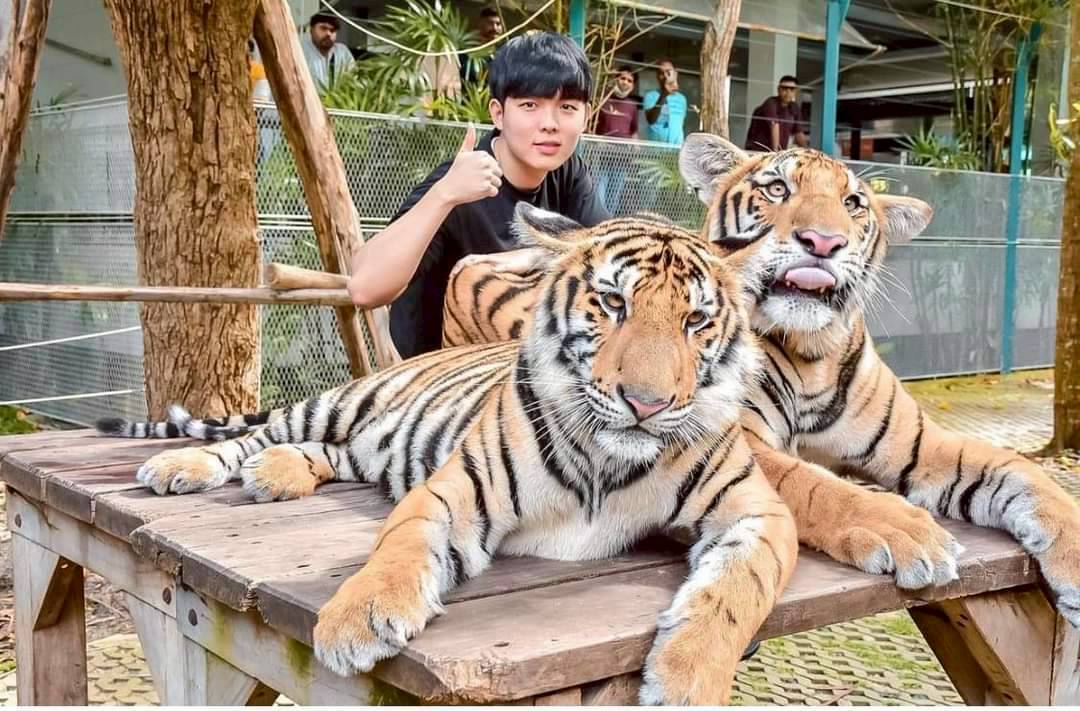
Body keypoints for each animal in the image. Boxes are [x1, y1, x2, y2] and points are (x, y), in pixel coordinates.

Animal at [96, 205, 798, 705]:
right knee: (256, 432)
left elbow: (735, 594)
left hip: (360, 446)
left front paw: (688, 681)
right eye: (612, 302)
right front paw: (353, 623)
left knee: (327, 454)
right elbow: (401, 545)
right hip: (339, 402)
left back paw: (276, 476)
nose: (646, 404)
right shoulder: (458, 487)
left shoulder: (758, 512)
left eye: (695, 321)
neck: (609, 459)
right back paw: (182, 468)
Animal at [441, 134, 1080, 628]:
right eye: (778, 189)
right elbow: (818, 485)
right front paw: (905, 529)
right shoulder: (734, 440)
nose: (823, 242)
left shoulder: (919, 442)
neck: (811, 354)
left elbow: (1020, 473)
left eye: (853, 203)